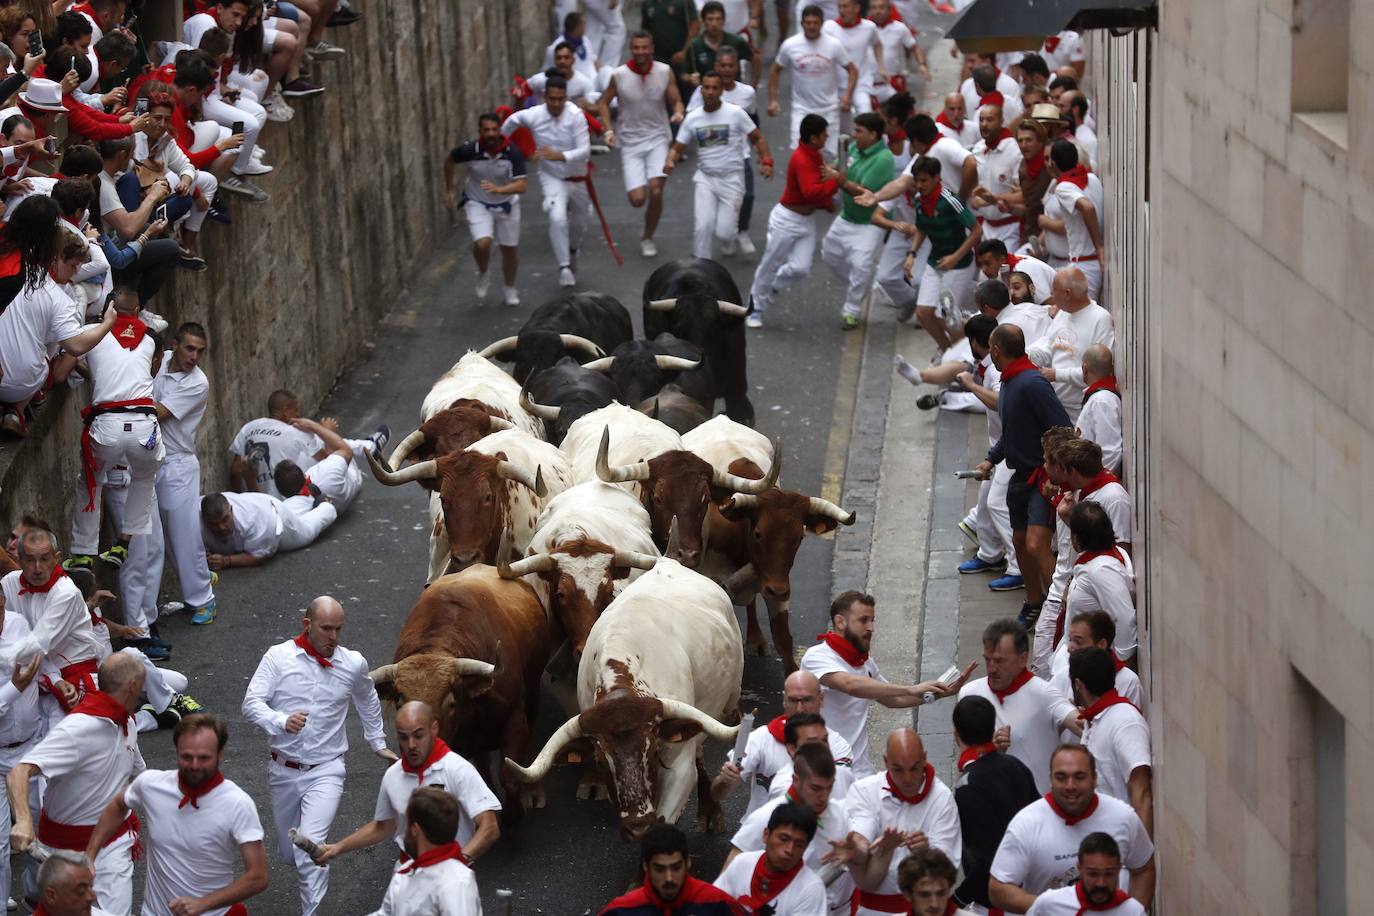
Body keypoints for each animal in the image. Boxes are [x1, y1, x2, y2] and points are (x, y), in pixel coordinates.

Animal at [373, 565, 555, 818]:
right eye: (400, 702)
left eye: (451, 703)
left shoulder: (515, 720)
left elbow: (509, 773)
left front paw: (514, 813)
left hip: (533, 691)